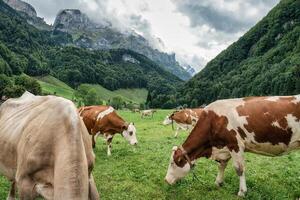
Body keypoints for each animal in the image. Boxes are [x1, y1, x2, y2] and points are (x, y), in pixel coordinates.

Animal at [165, 95, 300, 197]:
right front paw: (218, 182)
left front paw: (242, 192)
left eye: (172, 163)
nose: (166, 180)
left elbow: (239, 169)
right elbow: (221, 165)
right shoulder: (224, 147)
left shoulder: (235, 144)